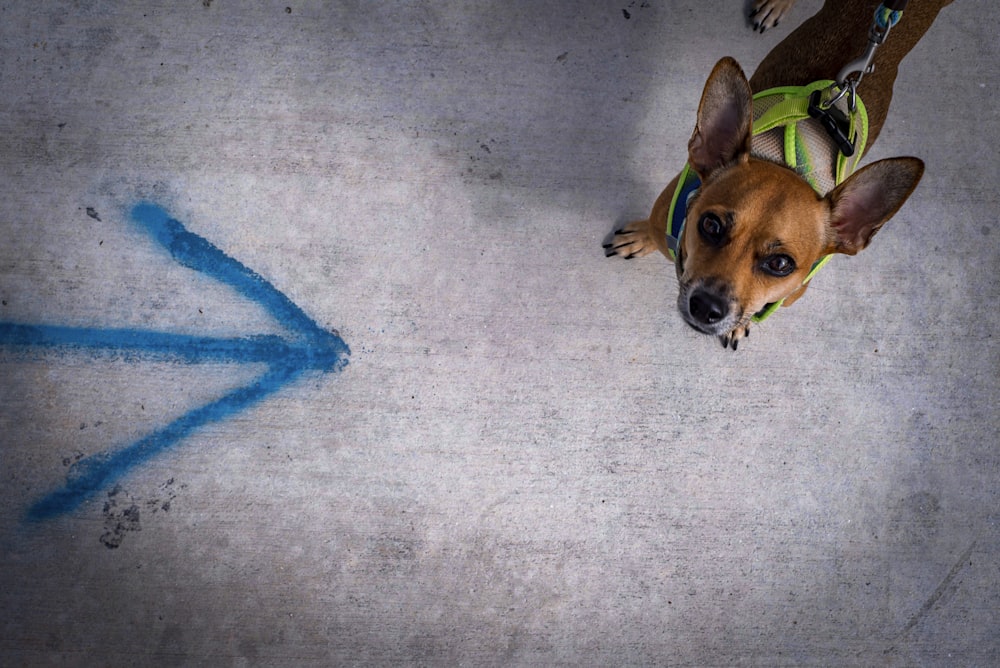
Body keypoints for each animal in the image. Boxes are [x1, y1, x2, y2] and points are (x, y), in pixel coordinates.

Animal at [608, 1, 952, 350]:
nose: (706, 306)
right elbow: (652, 233)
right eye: (710, 225)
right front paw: (640, 237)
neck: (784, 159)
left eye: (780, 264)